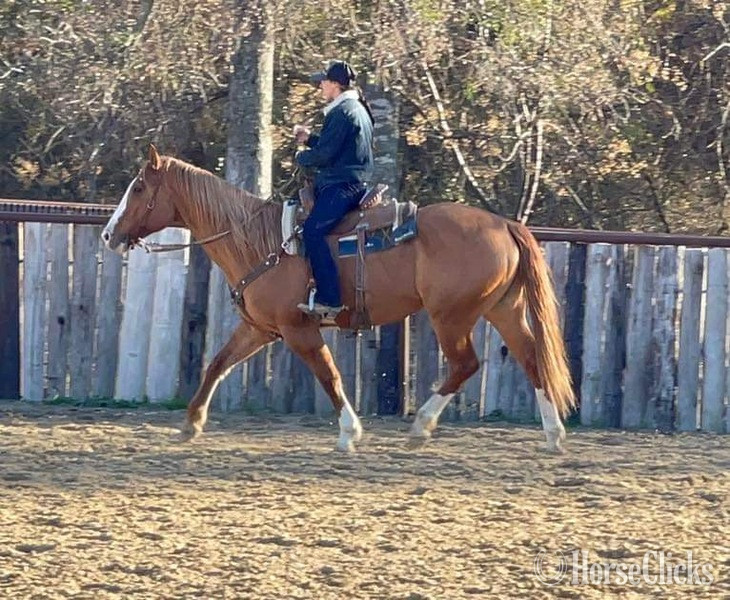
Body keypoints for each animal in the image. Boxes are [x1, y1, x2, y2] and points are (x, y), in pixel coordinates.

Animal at [101, 145, 576, 453]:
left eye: (139, 187)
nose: (108, 234)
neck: (260, 242)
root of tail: (503, 224)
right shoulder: (259, 329)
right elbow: (217, 363)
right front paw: (191, 423)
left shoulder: (298, 330)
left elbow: (329, 376)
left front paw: (349, 432)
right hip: (503, 309)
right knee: (532, 359)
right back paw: (553, 435)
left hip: (452, 316)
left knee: (466, 365)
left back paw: (421, 427)